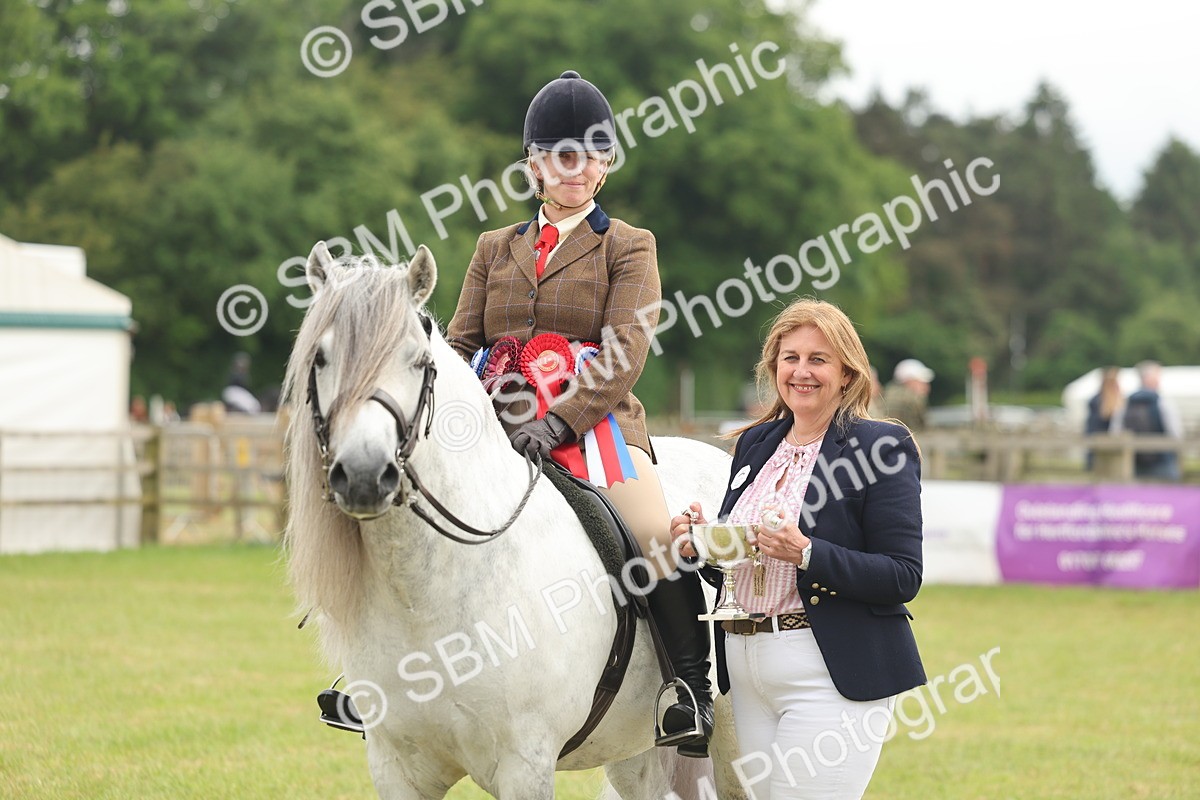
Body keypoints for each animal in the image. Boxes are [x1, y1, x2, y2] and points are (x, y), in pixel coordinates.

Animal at [283, 241, 749, 799]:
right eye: (320, 357)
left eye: (417, 361)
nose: (362, 475)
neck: (427, 592)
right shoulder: (396, 767)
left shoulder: (525, 764)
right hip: (633, 754)